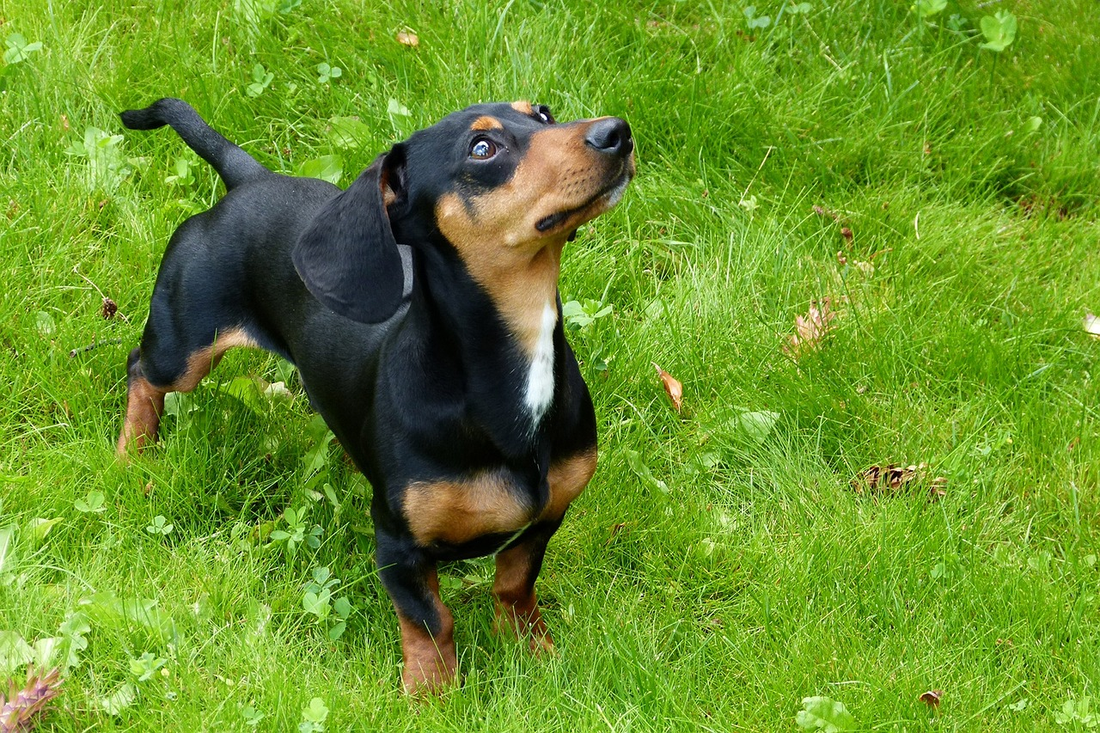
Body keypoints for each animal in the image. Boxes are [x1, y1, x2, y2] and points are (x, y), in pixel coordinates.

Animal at [114, 98, 633, 691]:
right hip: (183, 346)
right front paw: (432, 694)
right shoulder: (397, 544)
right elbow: (431, 621)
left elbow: (514, 587)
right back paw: (133, 451)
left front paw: (533, 649)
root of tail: (251, 179)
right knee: (141, 371)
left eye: (543, 113)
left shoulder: (543, 521)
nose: (618, 133)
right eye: (482, 148)